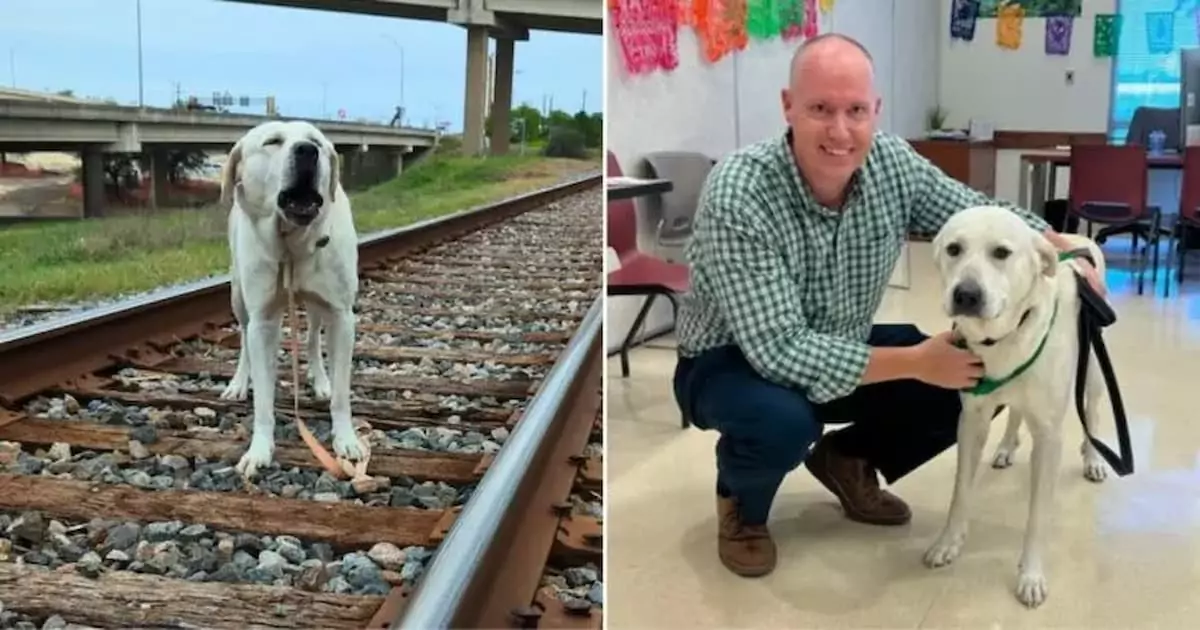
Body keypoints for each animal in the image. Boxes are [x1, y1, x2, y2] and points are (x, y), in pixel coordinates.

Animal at [218, 119, 362, 477]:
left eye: (316, 142)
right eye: (272, 142)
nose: (307, 151)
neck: (292, 244)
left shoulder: (342, 316)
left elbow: (342, 393)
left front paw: (346, 440)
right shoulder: (263, 321)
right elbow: (263, 399)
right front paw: (259, 450)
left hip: (318, 306)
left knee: (311, 336)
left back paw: (320, 379)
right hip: (238, 296)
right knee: (243, 338)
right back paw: (239, 382)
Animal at [921, 206, 1108, 609]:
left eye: (1001, 253)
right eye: (954, 249)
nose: (966, 294)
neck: (1002, 339)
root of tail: (1078, 238)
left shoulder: (1050, 438)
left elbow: (1037, 517)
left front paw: (1031, 575)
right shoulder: (971, 422)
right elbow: (960, 493)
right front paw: (948, 542)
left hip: (1093, 369)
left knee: (1094, 411)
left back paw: (1094, 459)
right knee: (1016, 411)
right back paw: (1006, 447)